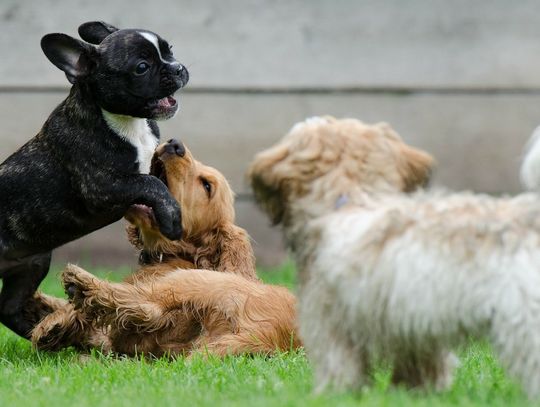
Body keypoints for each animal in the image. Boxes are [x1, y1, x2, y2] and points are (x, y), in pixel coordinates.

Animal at [0, 21, 190, 338]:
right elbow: (150, 184)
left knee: (9, 308)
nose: (178, 68)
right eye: (141, 67)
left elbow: (160, 179)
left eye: (169, 50)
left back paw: (45, 334)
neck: (127, 123)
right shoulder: (102, 187)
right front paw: (172, 219)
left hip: (33, 264)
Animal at [31, 139, 300, 356]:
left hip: (194, 282)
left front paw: (53, 320)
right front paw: (44, 305)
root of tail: (268, 334)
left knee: (146, 306)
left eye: (207, 186)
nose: (174, 144)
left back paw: (80, 285)